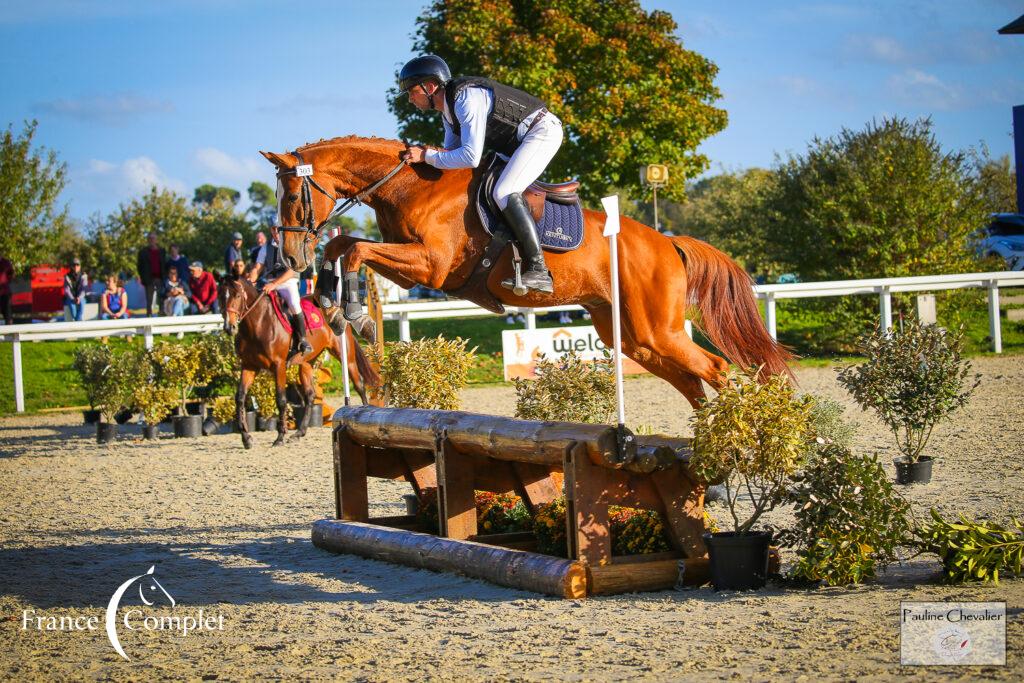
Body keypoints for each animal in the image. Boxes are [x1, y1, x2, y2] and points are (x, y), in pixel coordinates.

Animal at [221, 278, 380, 448]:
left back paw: (364, 413)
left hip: (345, 356)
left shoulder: (279, 366)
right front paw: (246, 438)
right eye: (220, 296)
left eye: (237, 296)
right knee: (310, 395)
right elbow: (240, 398)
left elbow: (281, 400)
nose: (229, 327)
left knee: (359, 385)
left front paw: (280, 437)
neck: (257, 324)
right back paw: (299, 433)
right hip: (306, 364)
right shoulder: (249, 366)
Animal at [260, 136, 786, 409]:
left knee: (715, 369)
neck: (410, 183)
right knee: (691, 382)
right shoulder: (410, 268)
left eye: (293, 198)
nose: (290, 259)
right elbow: (344, 244)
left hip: (658, 329)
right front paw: (329, 301)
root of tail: (668, 242)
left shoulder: (429, 265)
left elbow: (354, 250)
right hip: (633, 336)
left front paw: (355, 314)